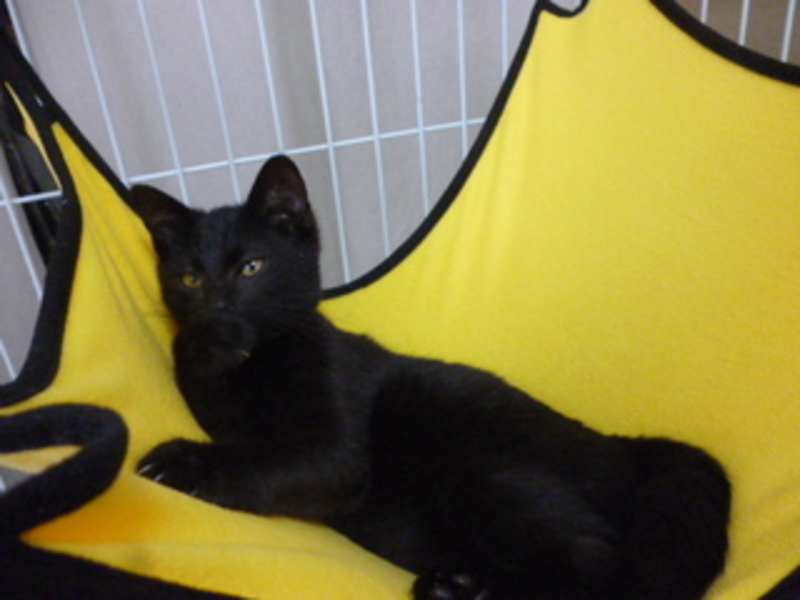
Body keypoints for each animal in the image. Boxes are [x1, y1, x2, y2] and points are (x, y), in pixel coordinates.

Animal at [131, 155, 731, 600]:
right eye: (189, 278)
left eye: (252, 267)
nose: (220, 312)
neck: (258, 364)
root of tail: (627, 448)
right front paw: (204, 349)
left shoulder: (334, 453)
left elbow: (263, 460)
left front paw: (177, 462)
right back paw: (459, 585)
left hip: (486, 476)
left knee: (599, 565)